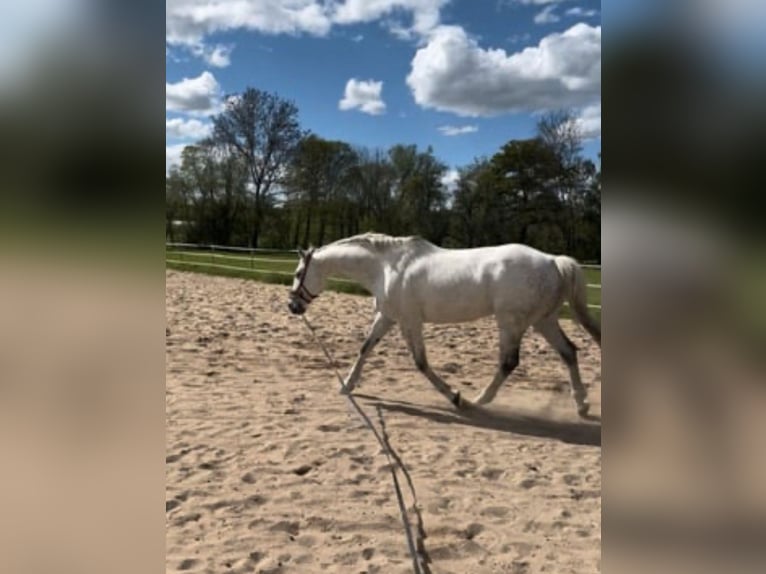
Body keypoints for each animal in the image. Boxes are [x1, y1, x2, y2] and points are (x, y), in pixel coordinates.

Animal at [292, 234, 604, 418]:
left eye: (297, 273)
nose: (292, 306)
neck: (386, 268)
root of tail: (552, 261)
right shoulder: (387, 317)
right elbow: (365, 348)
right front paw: (346, 385)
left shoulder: (410, 322)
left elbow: (420, 363)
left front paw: (455, 397)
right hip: (543, 320)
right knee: (569, 352)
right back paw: (582, 404)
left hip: (511, 322)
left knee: (509, 362)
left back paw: (478, 400)